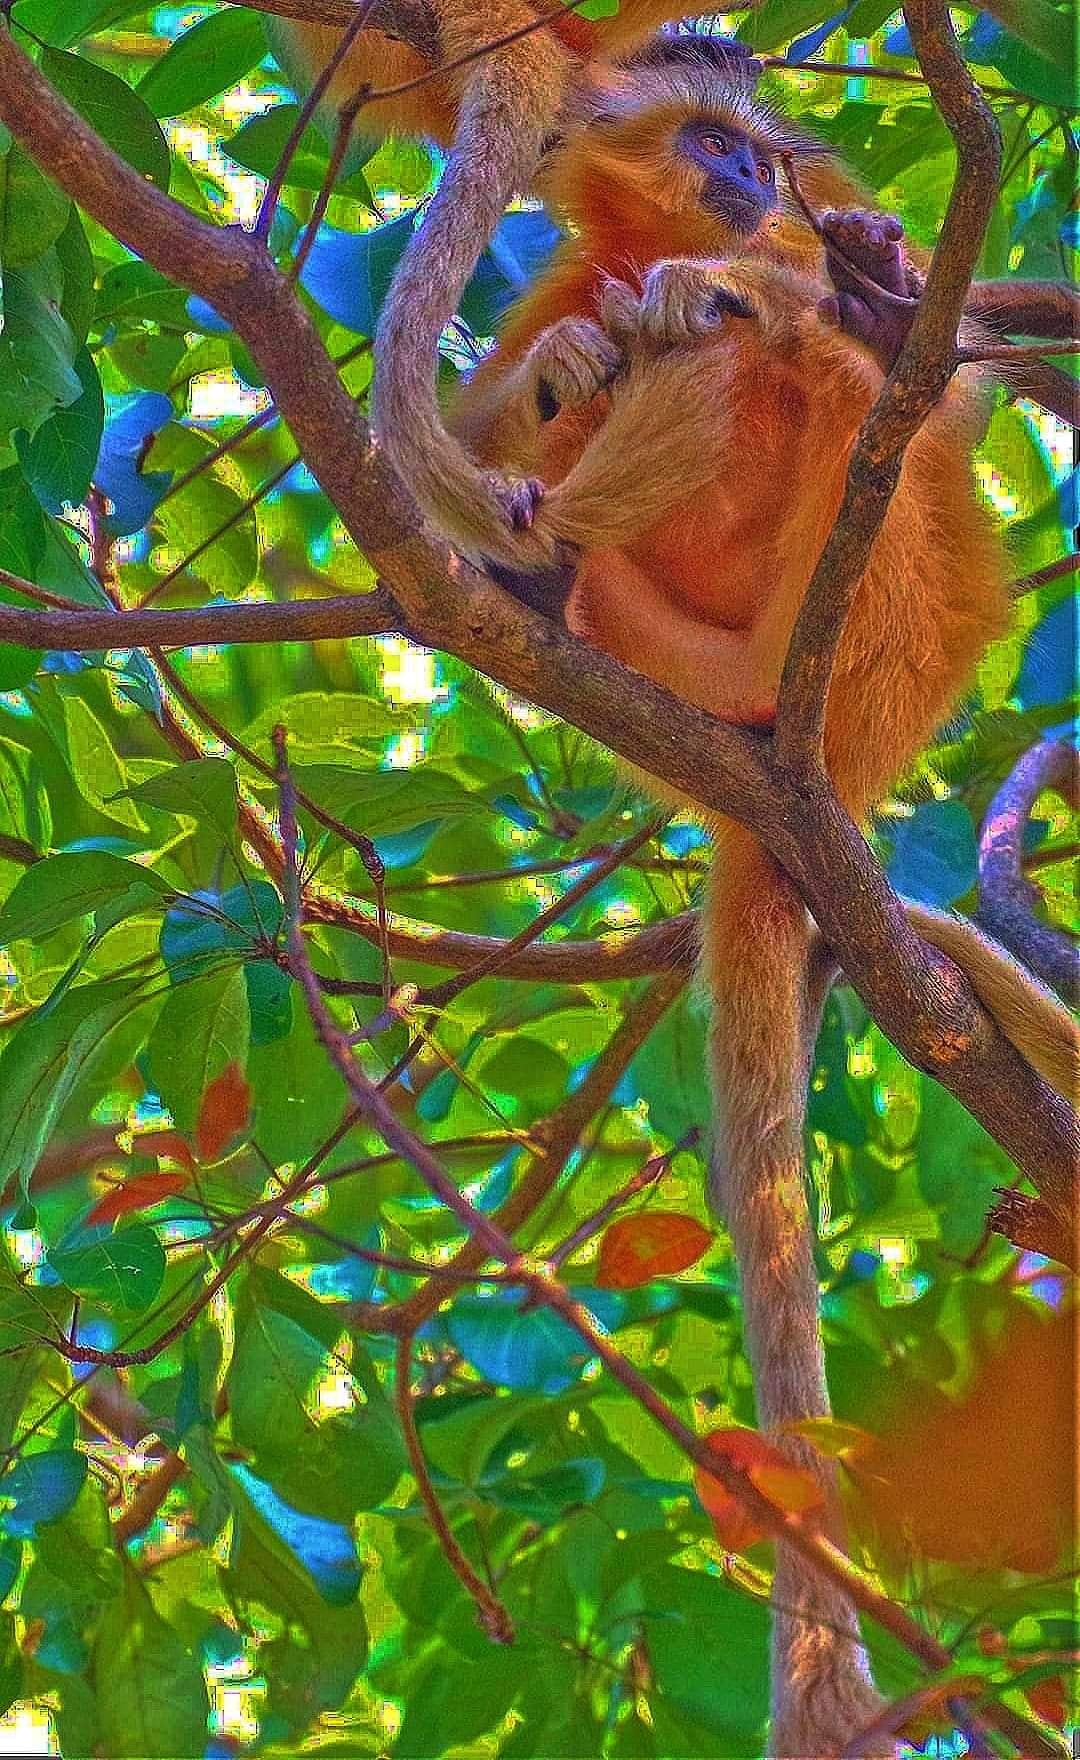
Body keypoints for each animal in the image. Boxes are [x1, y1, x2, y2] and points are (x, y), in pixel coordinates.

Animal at [446, 31, 1076, 1760]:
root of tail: (808, 760)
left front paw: (796, 290)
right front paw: (572, 362)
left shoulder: (811, 231)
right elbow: (483, 412)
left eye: (756, 153)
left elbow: (915, 360)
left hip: (888, 617)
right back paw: (555, 552)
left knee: (835, 387)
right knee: (614, 418)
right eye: (707, 141)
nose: (743, 183)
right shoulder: (552, 283)